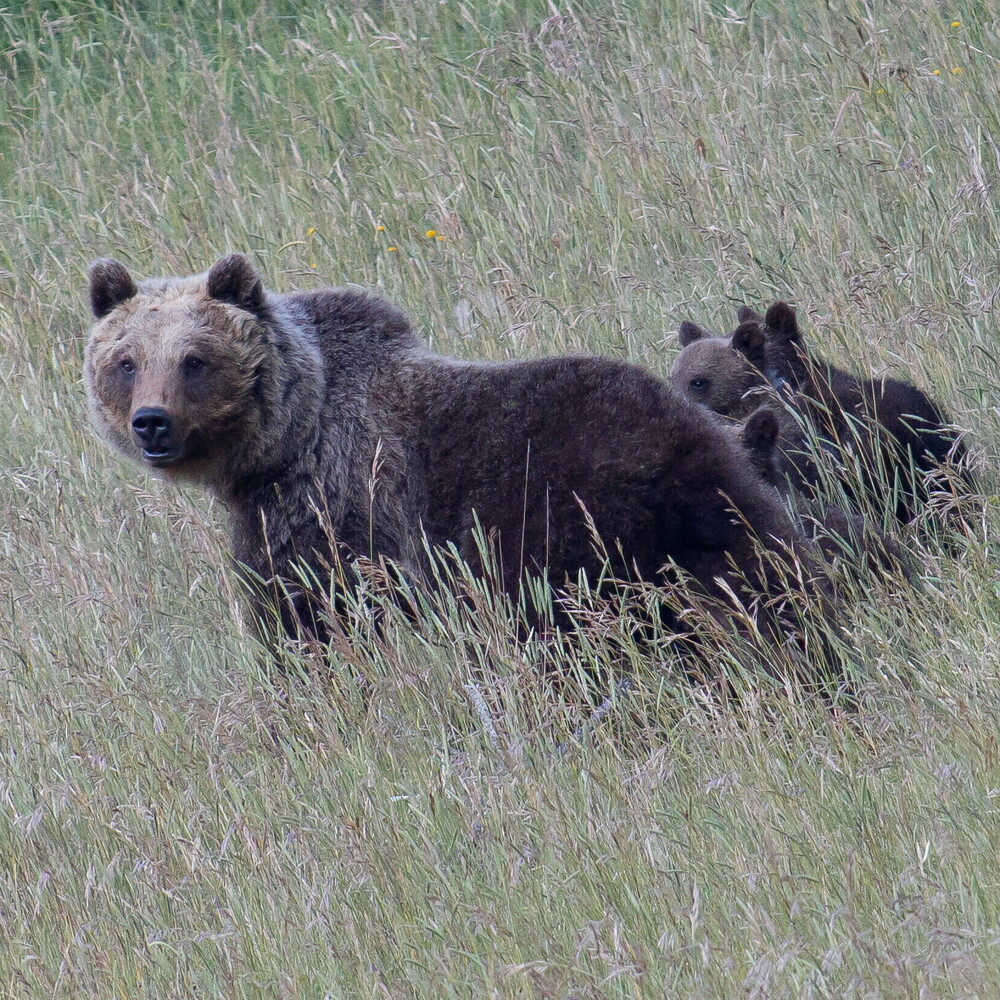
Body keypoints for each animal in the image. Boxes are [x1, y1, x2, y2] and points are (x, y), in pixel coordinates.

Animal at [88, 256, 836, 680]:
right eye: (126, 360)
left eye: (195, 359)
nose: (151, 422)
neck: (292, 436)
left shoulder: (332, 513)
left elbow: (311, 618)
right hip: (715, 519)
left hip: (571, 524)